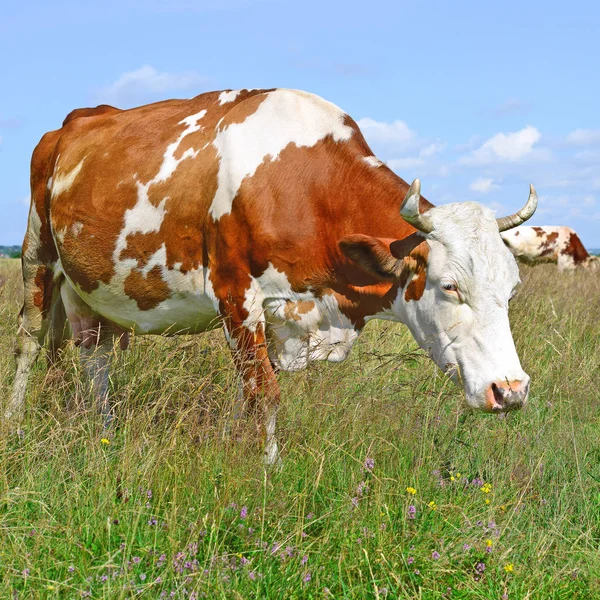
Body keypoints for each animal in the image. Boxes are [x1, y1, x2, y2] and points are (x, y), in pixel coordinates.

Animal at [5, 88, 540, 464]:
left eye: (512, 290)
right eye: (450, 286)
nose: (511, 390)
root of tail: (79, 119)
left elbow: (252, 393)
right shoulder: (236, 295)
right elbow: (263, 393)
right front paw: (267, 468)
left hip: (96, 289)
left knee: (95, 355)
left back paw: (104, 432)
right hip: (38, 254)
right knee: (29, 341)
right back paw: (13, 422)